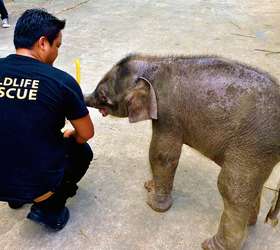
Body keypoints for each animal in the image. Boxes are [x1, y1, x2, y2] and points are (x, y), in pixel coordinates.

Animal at [85, 54, 280, 250]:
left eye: (103, 96)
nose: (85, 99)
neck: (152, 64)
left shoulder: (168, 114)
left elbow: (161, 154)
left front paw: (154, 205)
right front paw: (149, 186)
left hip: (253, 144)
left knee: (231, 188)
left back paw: (211, 245)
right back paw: (250, 223)